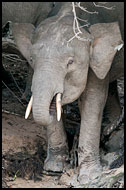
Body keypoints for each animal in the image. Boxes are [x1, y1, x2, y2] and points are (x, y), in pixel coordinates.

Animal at [2, 2, 123, 184]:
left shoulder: (93, 62)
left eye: (70, 62)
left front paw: (89, 177)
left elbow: (92, 101)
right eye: (31, 59)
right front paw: (54, 169)